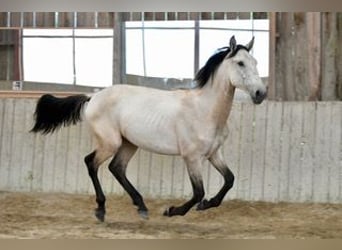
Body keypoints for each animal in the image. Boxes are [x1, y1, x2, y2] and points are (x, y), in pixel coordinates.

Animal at [30, 35, 268, 221]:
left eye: (255, 61)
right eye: (240, 63)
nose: (260, 93)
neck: (204, 110)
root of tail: (92, 97)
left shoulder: (213, 154)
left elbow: (229, 180)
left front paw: (206, 204)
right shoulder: (192, 157)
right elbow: (198, 192)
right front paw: (171, 211)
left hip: (129, 143)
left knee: (116, 168)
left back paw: (141, 207)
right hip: (110, 142)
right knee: (91, 163)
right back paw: (101, 210)